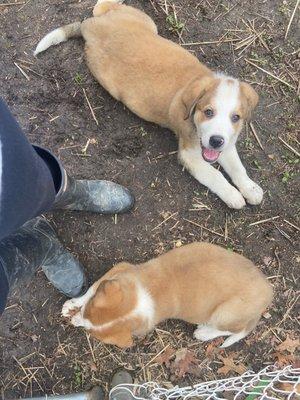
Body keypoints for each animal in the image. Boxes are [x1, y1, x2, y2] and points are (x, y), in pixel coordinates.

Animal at [35, 0, 264, 209]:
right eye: (208, 112)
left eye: (236, 117)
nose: (216, 141)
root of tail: (90, 27)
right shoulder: (190, 156)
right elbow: (215, 176)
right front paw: (233, 195)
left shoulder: (227, 142)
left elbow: (237, 167)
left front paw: (250, 188)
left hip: (141, 20)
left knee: (100, 7)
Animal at [62, 242, 274, 348]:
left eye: (94, 336)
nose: (75, 320)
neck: (141, 300)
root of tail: (269, 291)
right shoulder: (119, 269)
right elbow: (91, 288)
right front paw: (72, 306)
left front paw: (75, 318)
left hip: (225, 314)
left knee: (236, 330)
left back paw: (204, 333)